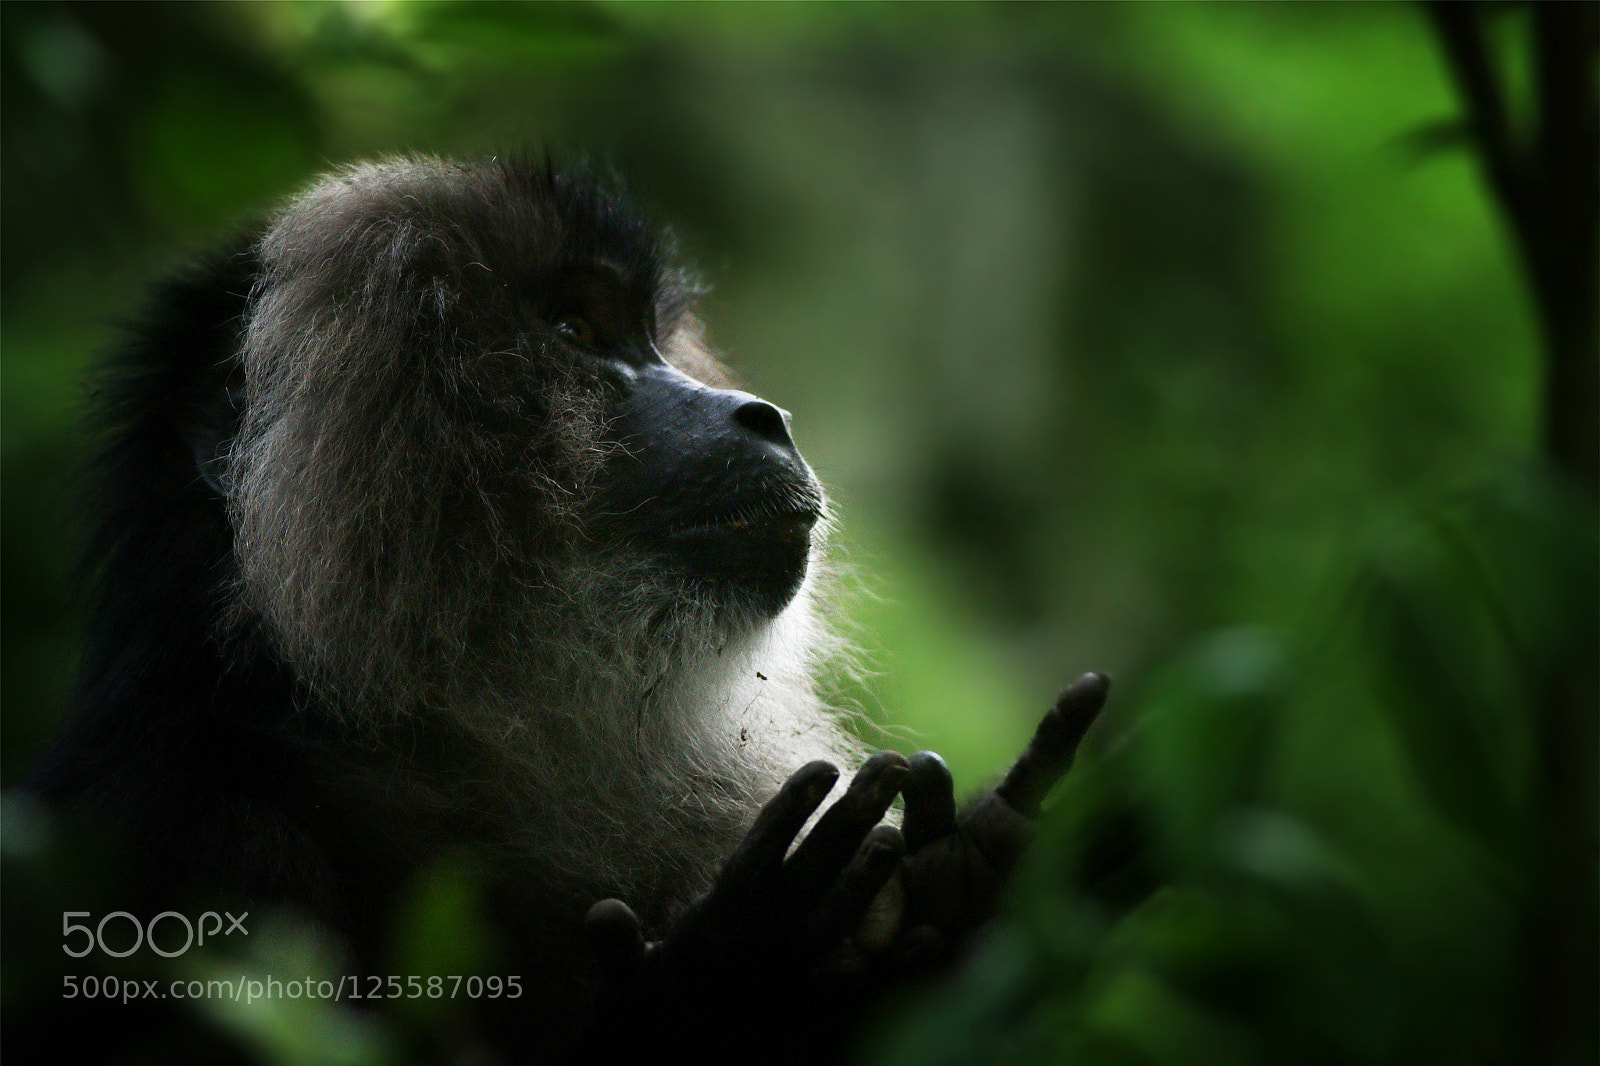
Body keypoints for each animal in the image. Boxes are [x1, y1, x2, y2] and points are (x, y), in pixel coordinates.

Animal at [21, 155, 1109, 1063]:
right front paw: (729, 984)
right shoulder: (177, 844)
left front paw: (959, 882)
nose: (762, 414)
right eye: (576, 333)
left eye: (656, 344)